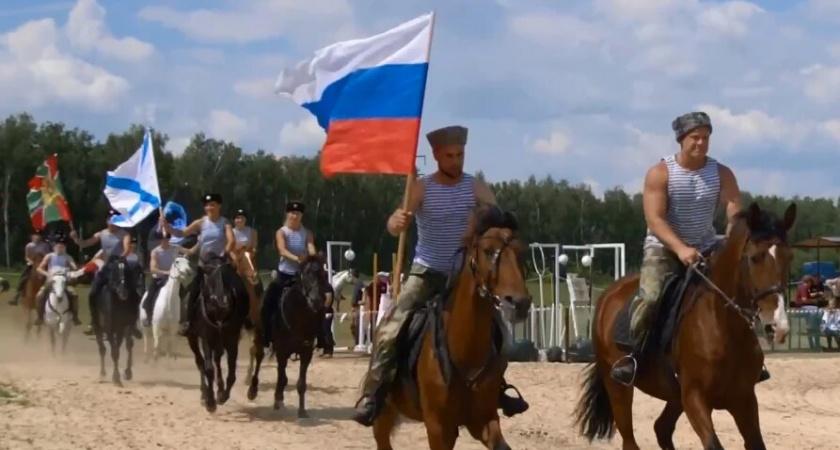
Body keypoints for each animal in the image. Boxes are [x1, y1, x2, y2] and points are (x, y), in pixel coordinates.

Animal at [96, 258, 142, 388]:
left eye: (127, 272)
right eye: (115, 271)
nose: (123, 292)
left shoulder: (125, 326)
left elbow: (124, 346)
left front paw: (126, 373)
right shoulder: (110, 328)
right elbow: (114, 352)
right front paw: (116, 378)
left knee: (127, 344)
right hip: (98, 327)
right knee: (102, 349)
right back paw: (102, 374)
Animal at [186, 255, 248, 414]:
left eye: (226, 274)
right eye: (208, 273)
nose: (221, 301)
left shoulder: (232, 340)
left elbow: (231, 371)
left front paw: (222, 396)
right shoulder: (206, 338)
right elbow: (208, 369)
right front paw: (210, 402)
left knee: (217, 360)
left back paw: (219, 390)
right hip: (193, 338)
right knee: (201, 362)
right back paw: (204, 394)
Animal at [246, 251, 332, 420]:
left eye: (324, 275)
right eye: (305, 274)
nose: (316, 301)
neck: (299, 316)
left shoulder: (306, 352)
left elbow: (301, 383)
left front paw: (302, 411)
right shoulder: (282, 351)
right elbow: (282, 377)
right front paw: (278, 399)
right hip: (260, 338)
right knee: (258, 357)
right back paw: (253, 390)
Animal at [374, 207, 532, 450]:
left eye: (521, 251)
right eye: (488, 251)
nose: (520, 303)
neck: (465, 350)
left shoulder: (483, 420)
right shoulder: (438, 428)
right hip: (384, 413)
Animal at [572, 203, 796, 450]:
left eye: (789, 258)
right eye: (755, 258)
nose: (777, 326)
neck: (725, 328)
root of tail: (608, 295)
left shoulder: (744, 399)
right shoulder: (694, 398)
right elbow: (713, 445)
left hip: (674, 396)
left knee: (661, 428)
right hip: (619, 387)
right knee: (631, 439)